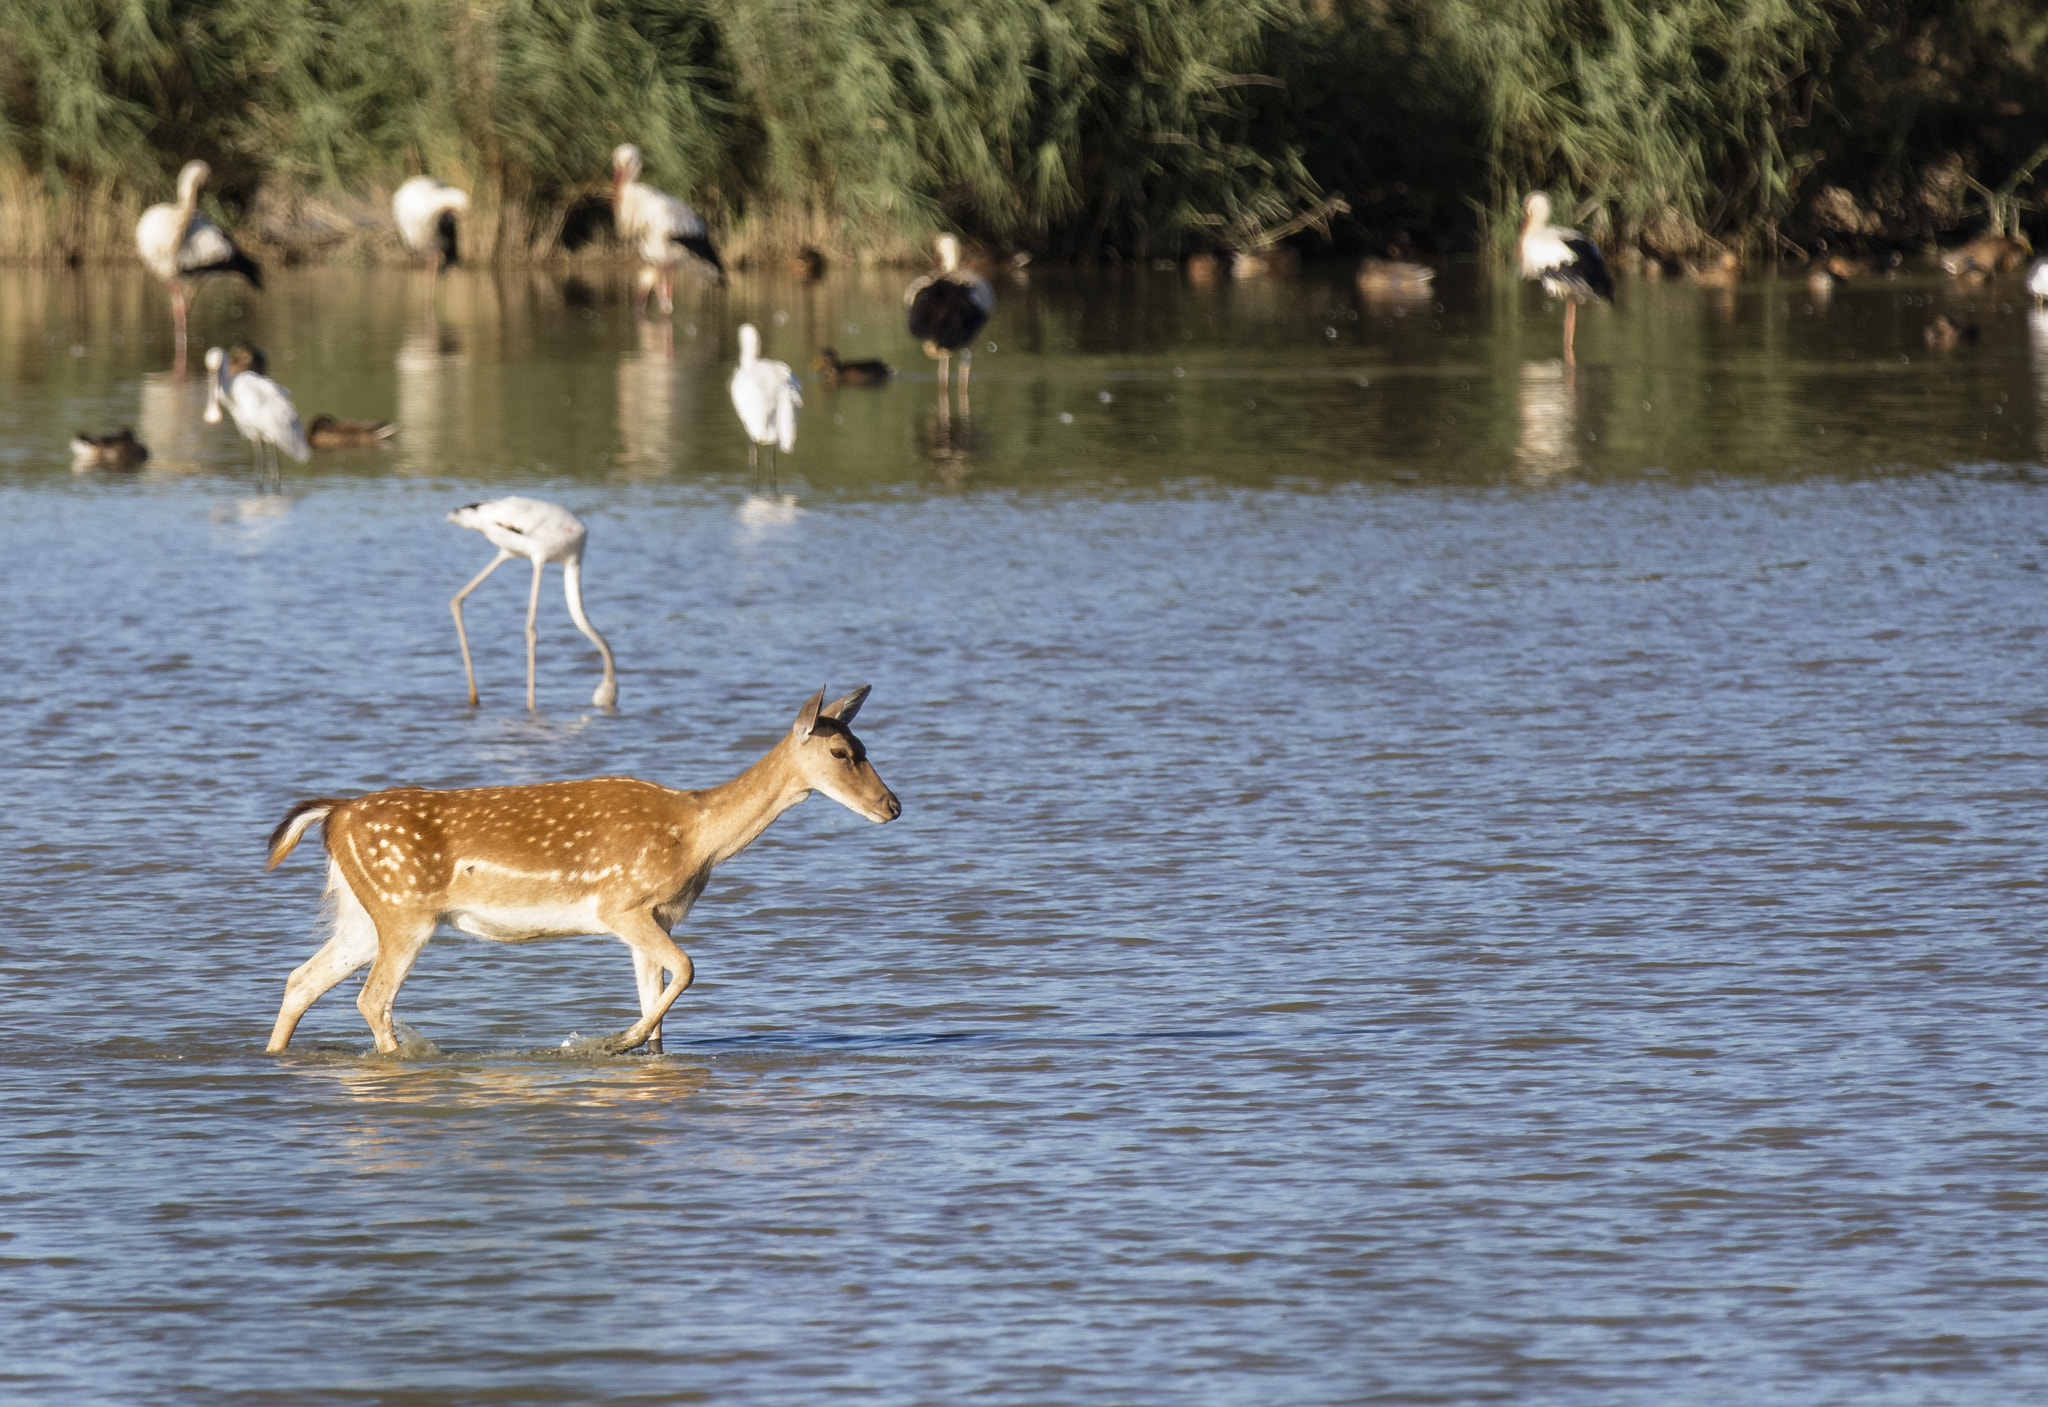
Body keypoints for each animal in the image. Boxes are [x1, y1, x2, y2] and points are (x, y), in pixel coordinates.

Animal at [262, 688, 897, 1048]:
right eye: (842, 752)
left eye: (866, 745)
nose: (892, 805)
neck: (695, 837)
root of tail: (335, 814)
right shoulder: (622, 904)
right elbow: (688, 970)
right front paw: (613, 1041)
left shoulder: (656, 918)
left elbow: (658, 1005)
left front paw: (637, 1046)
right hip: (403, 911)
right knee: (372, 999)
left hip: (365, 914)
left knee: (302, 978)